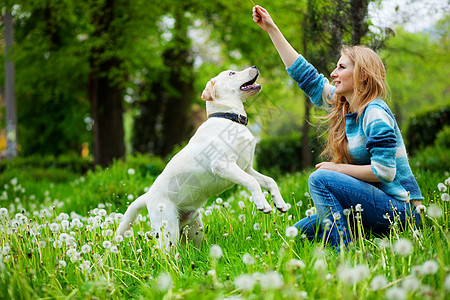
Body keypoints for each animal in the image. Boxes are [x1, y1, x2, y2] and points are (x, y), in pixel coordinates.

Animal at [115, 67, 288, 252]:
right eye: (232, 73)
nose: (254, 67)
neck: (229, 118)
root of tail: (147, 196)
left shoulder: (246, 168)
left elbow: (269, 180)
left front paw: (280, 203)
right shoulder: (223, 165)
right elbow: (252, 182)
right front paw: (263, 204)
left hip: (194, 228)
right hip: (168, 230)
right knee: (164, 253)